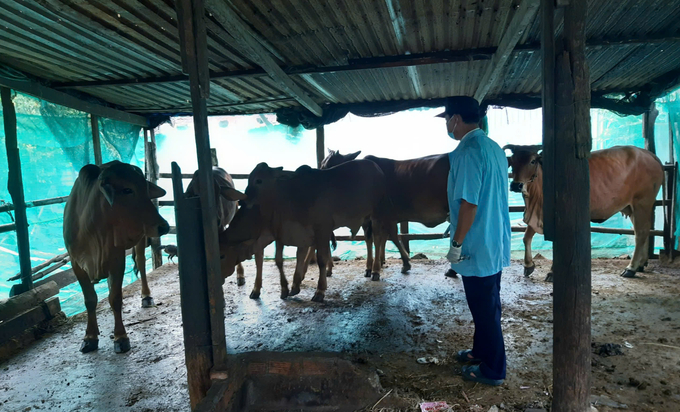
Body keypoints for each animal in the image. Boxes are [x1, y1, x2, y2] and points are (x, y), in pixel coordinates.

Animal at [63, 159, 169, 352]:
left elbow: (115, 298)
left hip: (140, 240)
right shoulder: (76, 264)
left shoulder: (116, 259)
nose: (163, 226)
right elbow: (90, 299)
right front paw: (90, 337)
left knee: (141, 263)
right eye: (127, 190)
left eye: (145, 189)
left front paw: (120, 337)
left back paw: (146, 296)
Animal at [216, 159, 388, 300]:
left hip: (377, 214)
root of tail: (375, 166)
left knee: (378, 239)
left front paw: (319, 291)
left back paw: (375, 270)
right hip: (365, 218)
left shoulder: (321, 229)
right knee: (368, 239)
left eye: (222, 255)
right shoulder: (289, 234)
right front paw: (290, 287)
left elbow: (320, 259)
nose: (245, 198)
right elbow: (283, 260)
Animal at [318, 150, 452, 276]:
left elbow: (380, 238)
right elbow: (383, 237)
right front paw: (380, 263)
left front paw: (376, 268)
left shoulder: (378, 216)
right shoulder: (381, 218)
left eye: (327, 167)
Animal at [504, 143, 664, 282]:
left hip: (642, 202)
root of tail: (650, 155)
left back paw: (631, 268)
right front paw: (528, 266)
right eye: (513, 161)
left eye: (532, 161)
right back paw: (641, 264)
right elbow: (526, 238)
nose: (516, 185)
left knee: (641, 233)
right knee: (643, 232)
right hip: (632, 208)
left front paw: (552, 273)